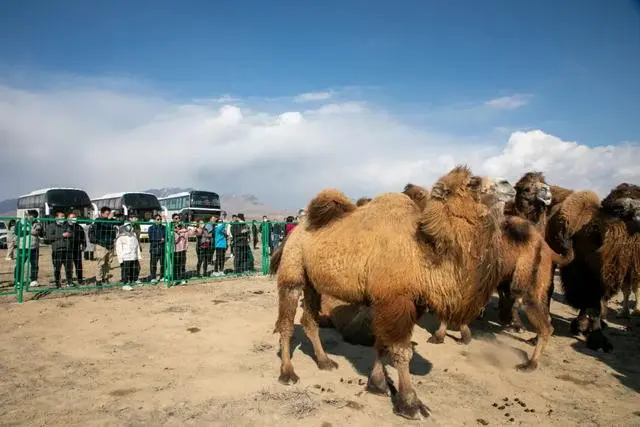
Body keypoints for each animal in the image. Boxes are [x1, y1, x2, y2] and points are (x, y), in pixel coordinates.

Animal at [276, 166, 520, 422]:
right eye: (472, 182)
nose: (508, 184)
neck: (421, 252)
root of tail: (295, 232)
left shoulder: (396, 302)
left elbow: (382, 344)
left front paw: (377, 385)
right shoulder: (396, 300)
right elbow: (402, 351)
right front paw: (410, 404)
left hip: (313, 283)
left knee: (309, 320)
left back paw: (324, 361)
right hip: (293, 270)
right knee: (287, 323)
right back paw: (288, 373)